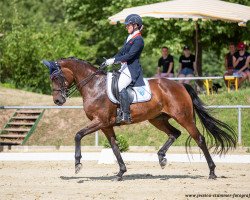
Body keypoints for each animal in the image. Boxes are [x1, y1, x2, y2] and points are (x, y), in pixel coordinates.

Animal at [43, 56, 236, 181]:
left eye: (57, 77)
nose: (58, 101)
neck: (94, 86)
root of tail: (180, 85)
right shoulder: (106, 125)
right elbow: (114, 147)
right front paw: (120, 173)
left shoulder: (100, 121)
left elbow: (78, 135)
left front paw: (77, 164)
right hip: (158, 119)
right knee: (175, 133)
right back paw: (161, 158)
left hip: (184, 117)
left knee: (199, 139)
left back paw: (212, 172)